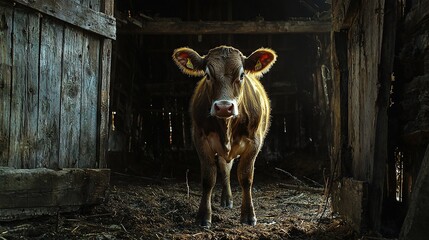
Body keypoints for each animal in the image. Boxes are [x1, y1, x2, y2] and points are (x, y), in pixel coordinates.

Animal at [171, 45, 276, 227]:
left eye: (241, 75)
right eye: (207, 74)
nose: (224, 107)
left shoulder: (254, 142)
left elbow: (246, 177)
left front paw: (248, 215)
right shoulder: (200, 140)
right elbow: (208, 178)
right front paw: (203, 216)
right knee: (224, 168)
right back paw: (226, 199)